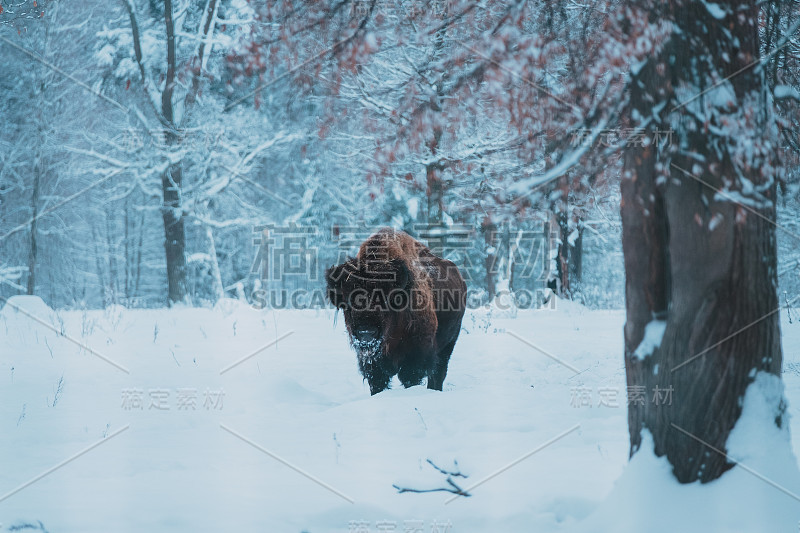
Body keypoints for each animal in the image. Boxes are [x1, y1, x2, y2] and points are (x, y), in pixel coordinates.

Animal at [326, 227, 468, 392]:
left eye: (384, 300)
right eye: (348, 302)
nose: (366, 333)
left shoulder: (415, 359)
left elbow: (410, 378)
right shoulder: (372, 364)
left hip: (449, 343)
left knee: (438, 373)